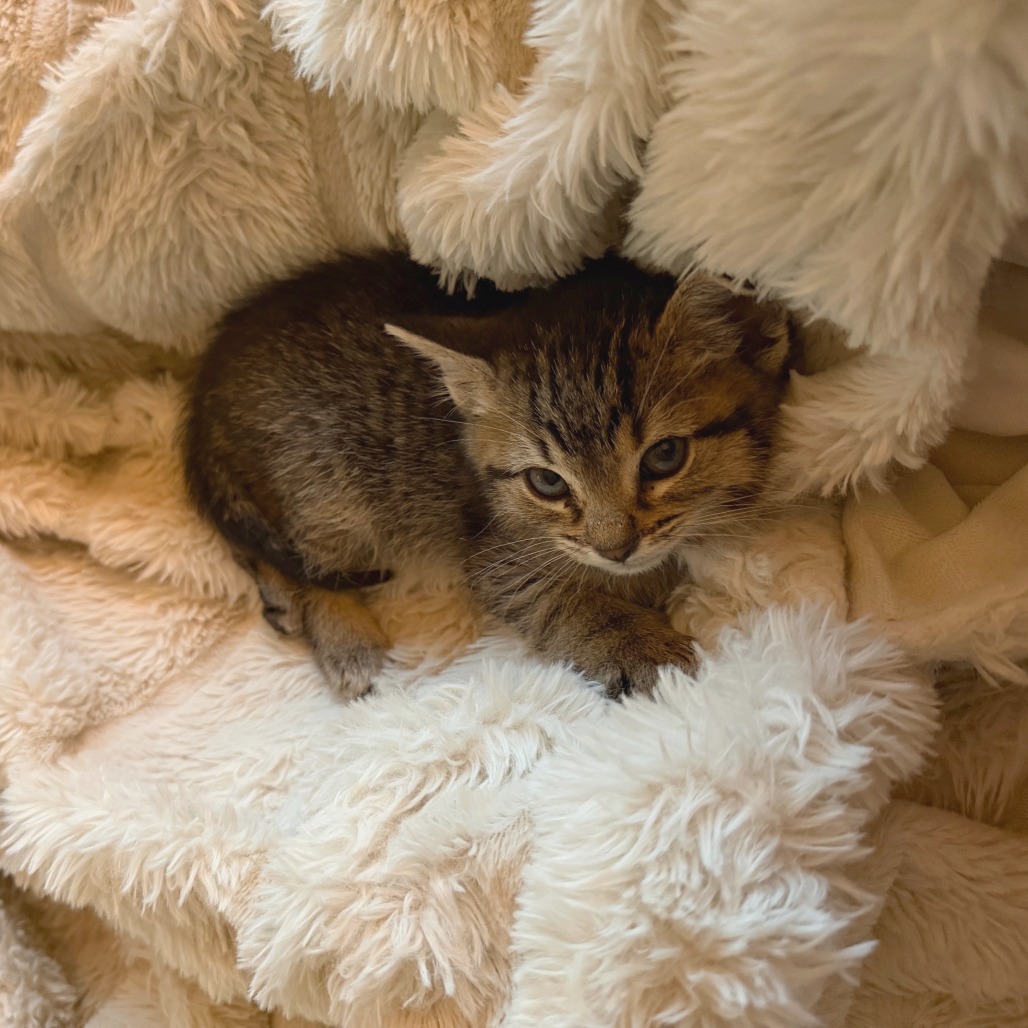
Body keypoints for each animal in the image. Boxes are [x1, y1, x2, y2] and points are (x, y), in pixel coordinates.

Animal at [183, 251, 793, 699]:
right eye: (548, 482)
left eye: (664, 456)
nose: (615, 549)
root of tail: (207, 379)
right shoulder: (496, 558)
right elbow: (570, 603)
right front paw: (643, 649)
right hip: (330, 487)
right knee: (308, 561)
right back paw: (346, 644)